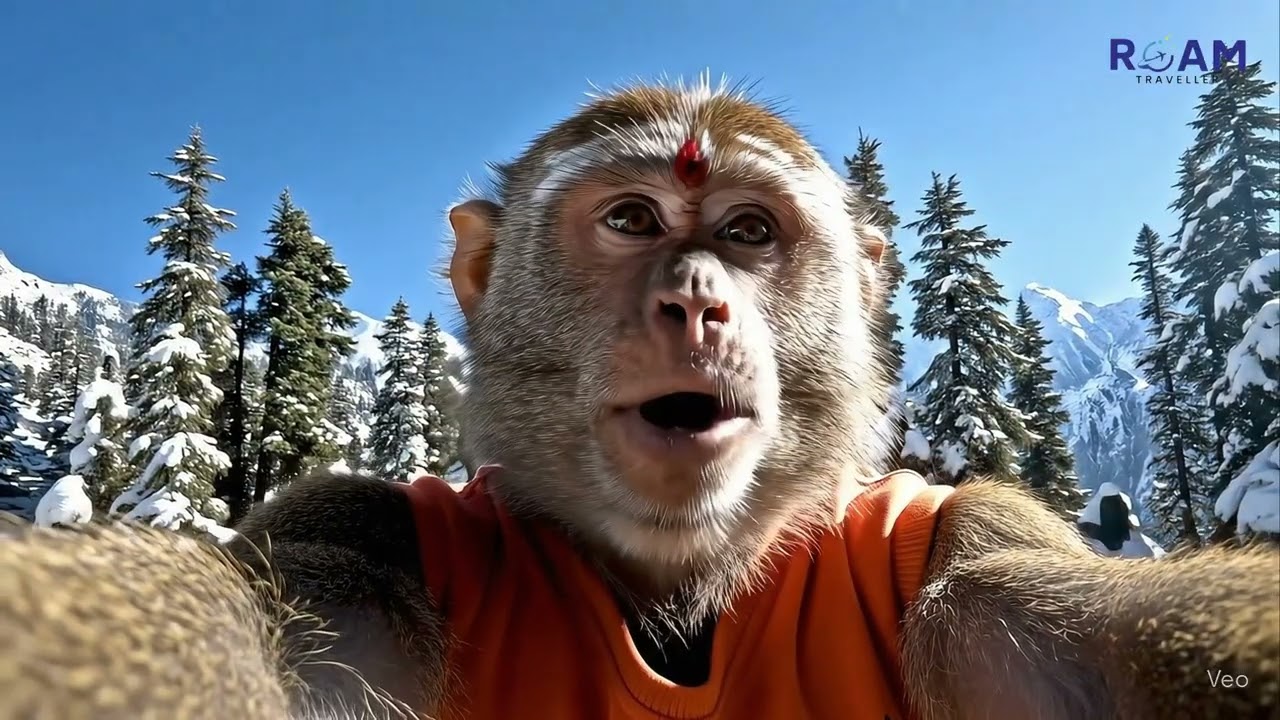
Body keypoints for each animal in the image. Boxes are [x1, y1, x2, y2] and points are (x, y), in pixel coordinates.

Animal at [1, 77, 1278, 720]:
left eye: (748, 232)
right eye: (629, 219)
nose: (696, 301)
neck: (677, 591)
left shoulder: (972, 536)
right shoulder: (350, 530)